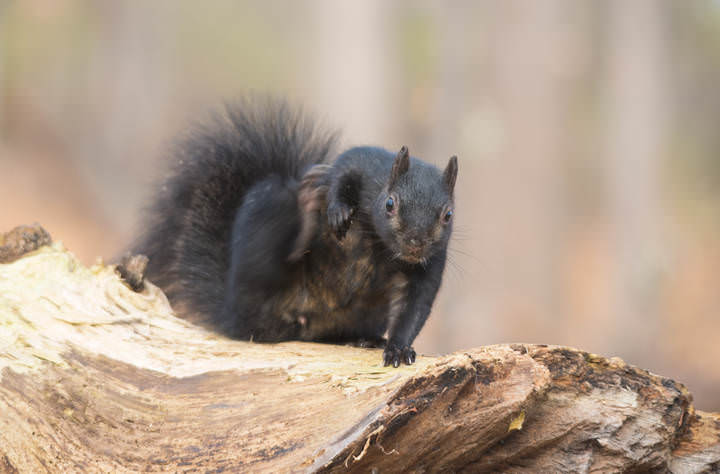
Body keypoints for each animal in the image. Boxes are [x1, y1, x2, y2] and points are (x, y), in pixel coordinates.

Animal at [135, 99, 458, 367]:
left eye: (448, 215)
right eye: (390, 204)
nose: (415, 244)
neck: (379, 244)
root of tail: (229, 310)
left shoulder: (430, 264)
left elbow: (414, 307)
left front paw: (399, 348)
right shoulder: (362, 163)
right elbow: (341, 173)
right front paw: (337, 209)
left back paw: (361, 338)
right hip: (267, 213)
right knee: (262, 302)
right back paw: (307, 208)